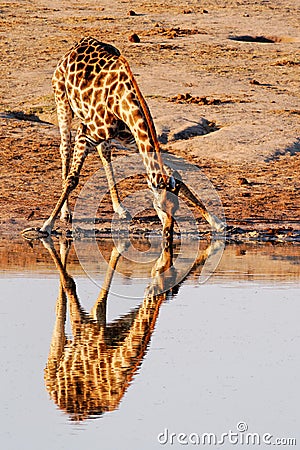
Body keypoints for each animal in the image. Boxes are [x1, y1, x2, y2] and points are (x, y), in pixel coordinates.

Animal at [22, 37, 224, 241]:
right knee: (65, 149)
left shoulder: (133, 139)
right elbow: (72, 180)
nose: (168, 234)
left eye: (177, 208)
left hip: (97, 130)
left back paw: (119, 208)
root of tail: (76, 46)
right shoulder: (85, 134)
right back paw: (65, 212)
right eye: (159, 206)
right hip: (62, 102)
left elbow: (173, 174)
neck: (124, 103)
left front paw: (216, 222)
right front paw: (46, 227)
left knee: (104, 153)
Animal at [42, 236, 216, 422]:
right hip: (54, 360)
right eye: (165, 271)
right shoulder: (86, 327)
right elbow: (71, 285)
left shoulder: (116, 325)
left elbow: (100, 302)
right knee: (59, 316)